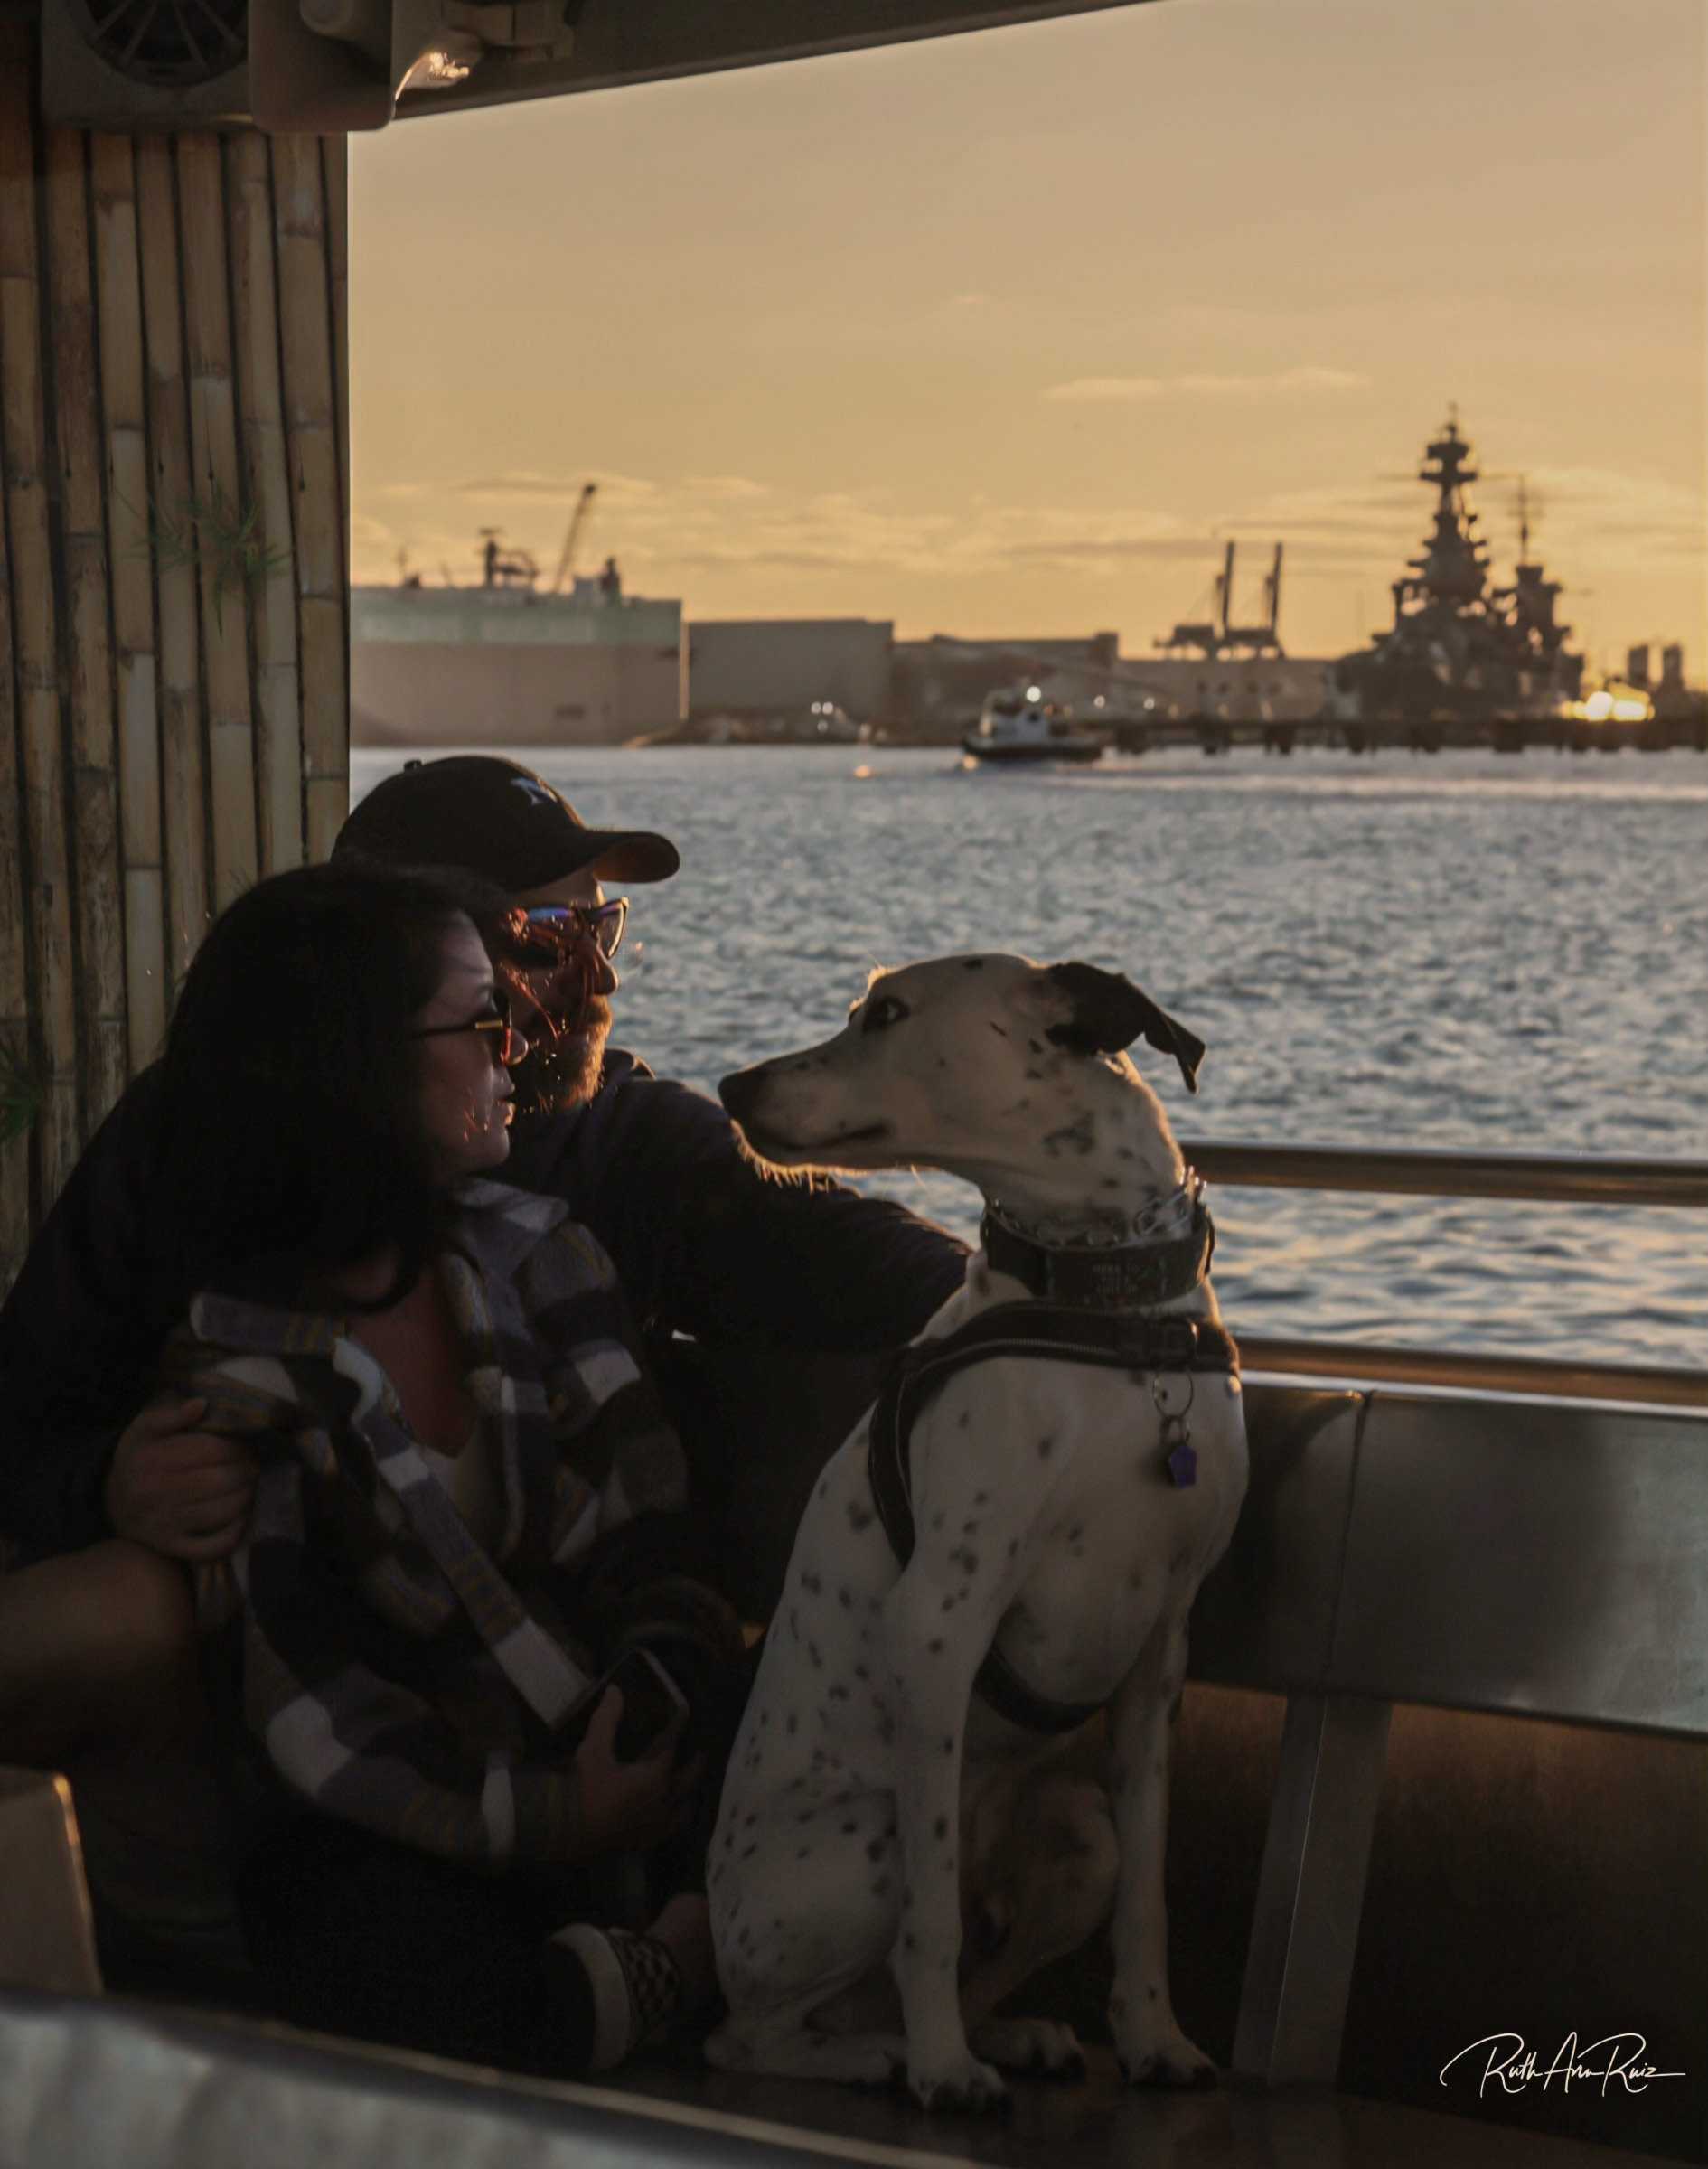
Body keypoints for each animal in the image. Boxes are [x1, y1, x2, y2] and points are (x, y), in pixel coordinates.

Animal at [703, 954, 1248, 2112]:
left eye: (888, 1012)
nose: (730, 1087)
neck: (1110, 1312)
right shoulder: (941, 1621)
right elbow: (933, 1920)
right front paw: (945, 2071)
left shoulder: (1159, 1651)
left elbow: (1148, 1895)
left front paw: (1154, 2038)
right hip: (863, 1844)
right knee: (757, 2031)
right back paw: (894, 2055)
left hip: (1077, 1835)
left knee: (976, 1961)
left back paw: (1003, 2034)